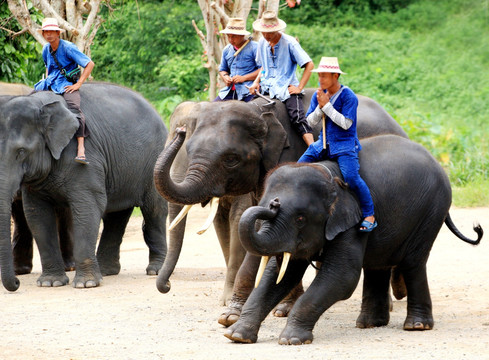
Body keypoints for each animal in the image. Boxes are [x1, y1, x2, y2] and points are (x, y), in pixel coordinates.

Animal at [0, 81, 168, 290]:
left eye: (21, 151)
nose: (16, 283)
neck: (41, 103)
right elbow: (36, 214)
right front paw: (51, 283)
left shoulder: (85, 157)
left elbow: (88, 206)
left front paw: (86, 284)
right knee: (116, 216)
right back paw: (106, 271)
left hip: (155, 159)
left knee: (154, 211)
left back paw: (155, 270)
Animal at [153, 90, 408, 316]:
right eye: (189, 148)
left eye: (231, 159)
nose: (167, 287)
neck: (257, 110)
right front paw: (240, 312)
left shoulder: (288, 158)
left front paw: (274, 309)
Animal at [227, 134, 482, 344]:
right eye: (263, 204)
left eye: (300, 218)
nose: (274, 204)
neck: (327, 174)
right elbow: (279, 276)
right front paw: (237, 336)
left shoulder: (352, 220)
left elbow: (342, 277)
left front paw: (291, 340)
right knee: (379, 264)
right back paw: (369, 324)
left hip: (431, 211)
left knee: (412, 263)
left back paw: (416, 326)